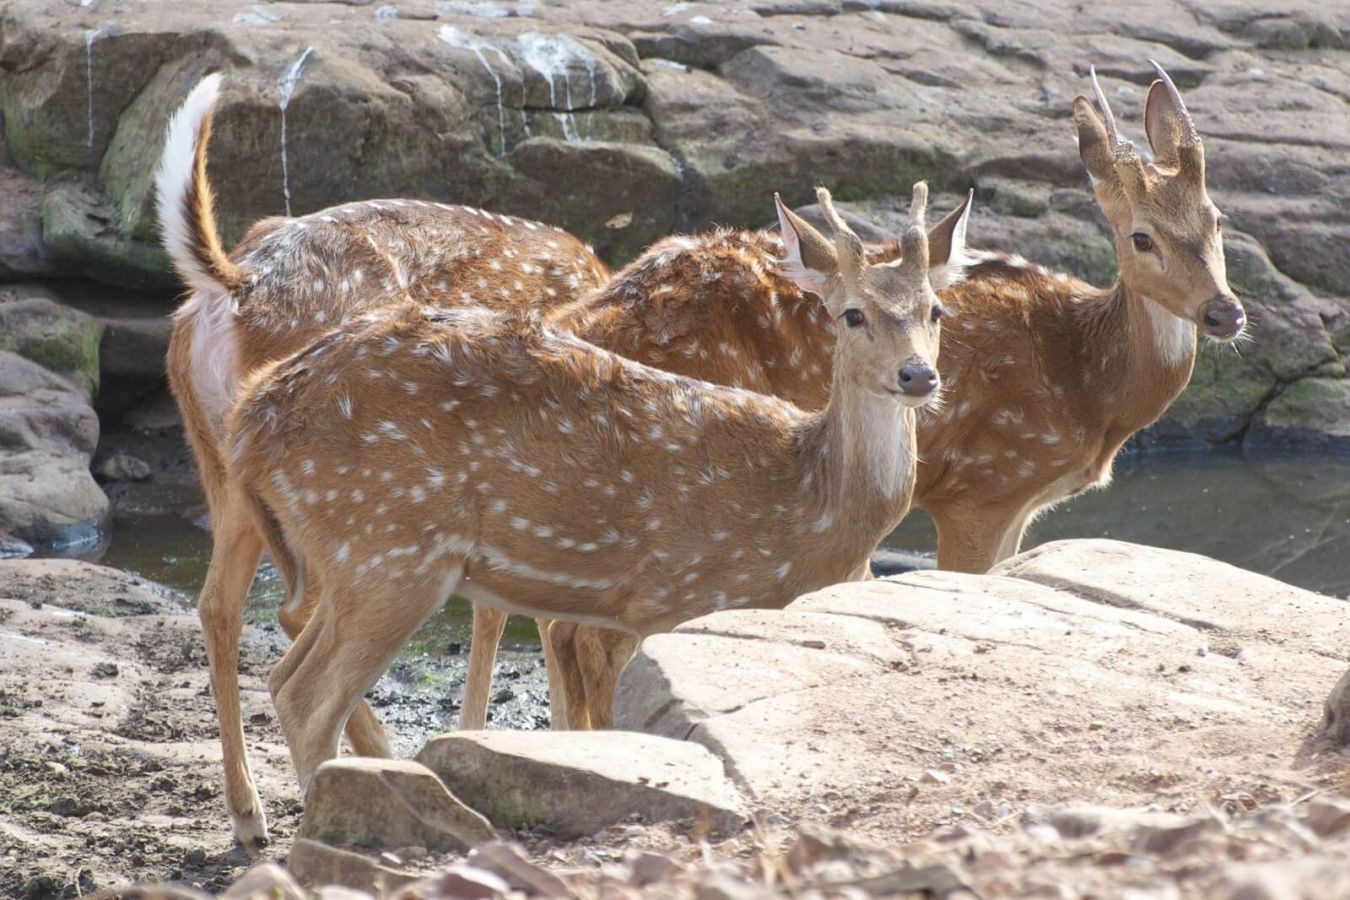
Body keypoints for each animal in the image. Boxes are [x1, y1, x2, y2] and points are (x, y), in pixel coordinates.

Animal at [155, 73, 610, 847]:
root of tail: (230, 286)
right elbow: (516, 613)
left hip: (223, 461)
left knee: (219, 603)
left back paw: (251, 812)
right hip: (340, 472)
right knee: (299, 609)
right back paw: (370, 761)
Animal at [224, 179, 950, 798]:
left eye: (935, 311)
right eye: (851, 314)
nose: (918, 376)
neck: (810, 504)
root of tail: (251, 423)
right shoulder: (675, 595)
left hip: (350, 554)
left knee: (283, 673)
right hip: (389, 544)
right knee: (308, 698)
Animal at [513, 58, 1242, 734]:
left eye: (1217, 221)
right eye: (1142, 236)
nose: (1226, 313)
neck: (1088, 384)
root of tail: (576, 318)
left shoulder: (1016, 505)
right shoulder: (984, 485)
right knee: (587, 633)